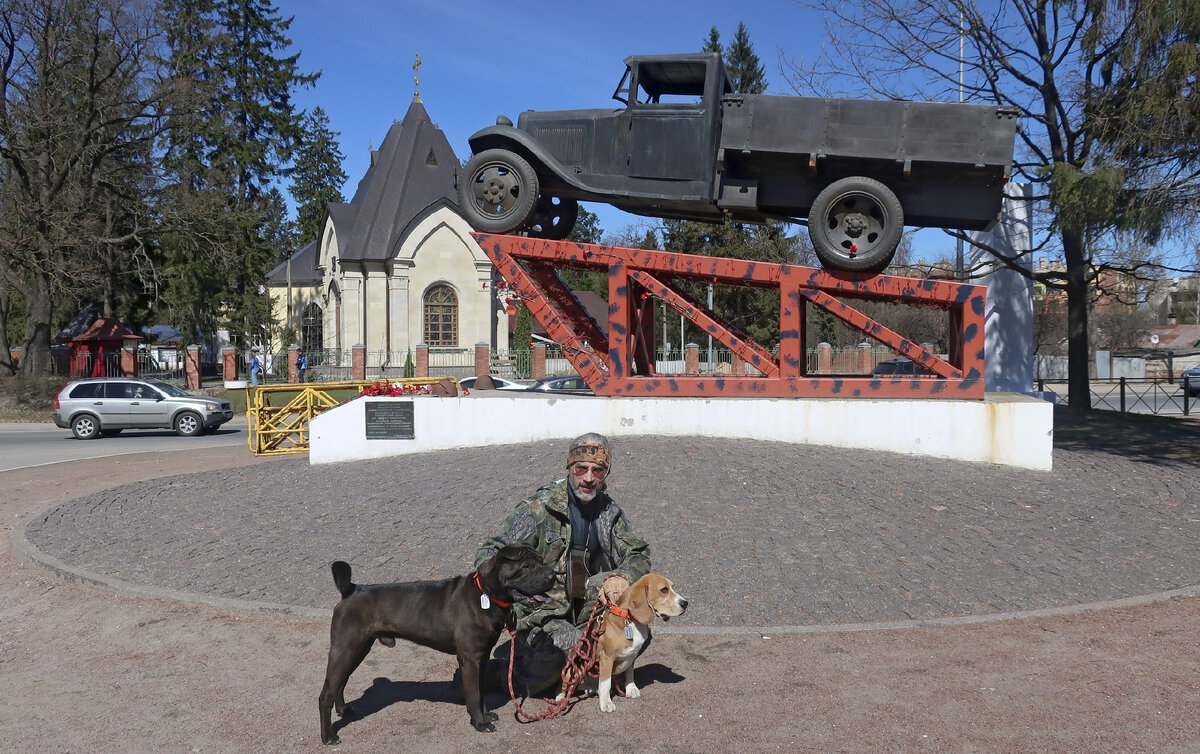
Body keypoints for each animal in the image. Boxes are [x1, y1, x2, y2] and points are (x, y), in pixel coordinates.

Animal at [319, 545, 552, 744]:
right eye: (526, 566)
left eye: (541, 561)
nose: (552, 575)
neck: (486, 593)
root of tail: (350, 590)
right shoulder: (470, 659)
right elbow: (474, 694)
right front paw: (479, 723)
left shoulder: (483, 657)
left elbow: (482, 690)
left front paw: (486, 714)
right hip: (346, 649)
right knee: (325, 694)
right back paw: (328, 736)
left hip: (357, 650)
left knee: (339, 683)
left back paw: (344, 710)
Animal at [588, 573, 691, 710]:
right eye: (664, 590)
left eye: (672, 587)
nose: (685, 603)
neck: (630, 620)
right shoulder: (606, 657)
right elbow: (605, 683)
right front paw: (606, 703)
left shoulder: (632, 655)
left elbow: (630, 674)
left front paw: (631, 689)